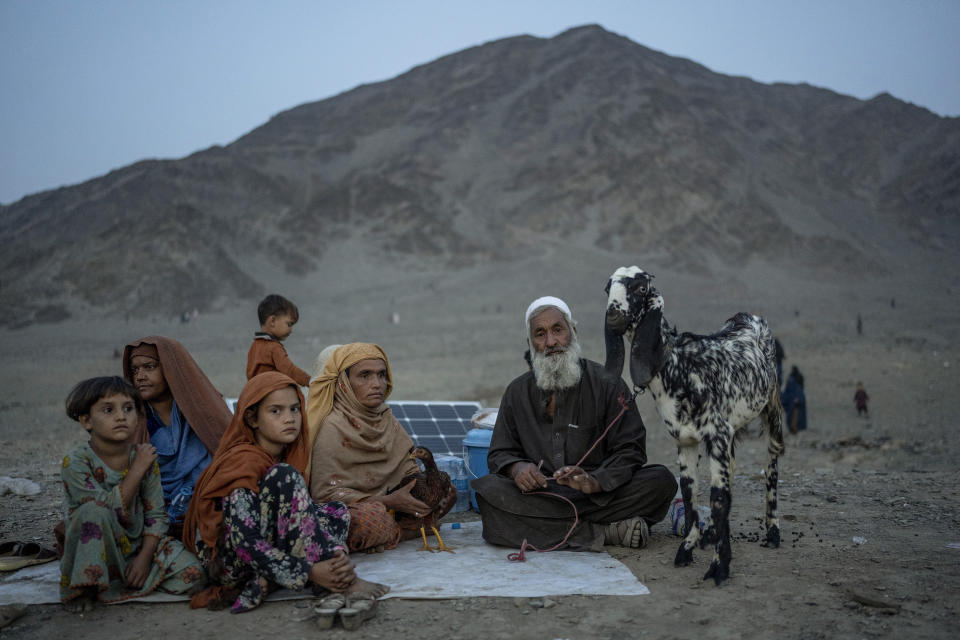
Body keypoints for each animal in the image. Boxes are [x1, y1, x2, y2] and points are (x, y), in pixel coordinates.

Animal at [604, 264, 784, 584]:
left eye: (640, 287)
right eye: (607, 287)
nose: (613, 315)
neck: (680, 366)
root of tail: (746, 317)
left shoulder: (717, 435)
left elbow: (718, 497)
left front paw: (719, 567)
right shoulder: (685, 441)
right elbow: (690, 494)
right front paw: (687, 549)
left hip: (772, 407)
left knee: (772, 464)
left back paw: (773, 532)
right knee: (730, 472)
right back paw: (711, 531)